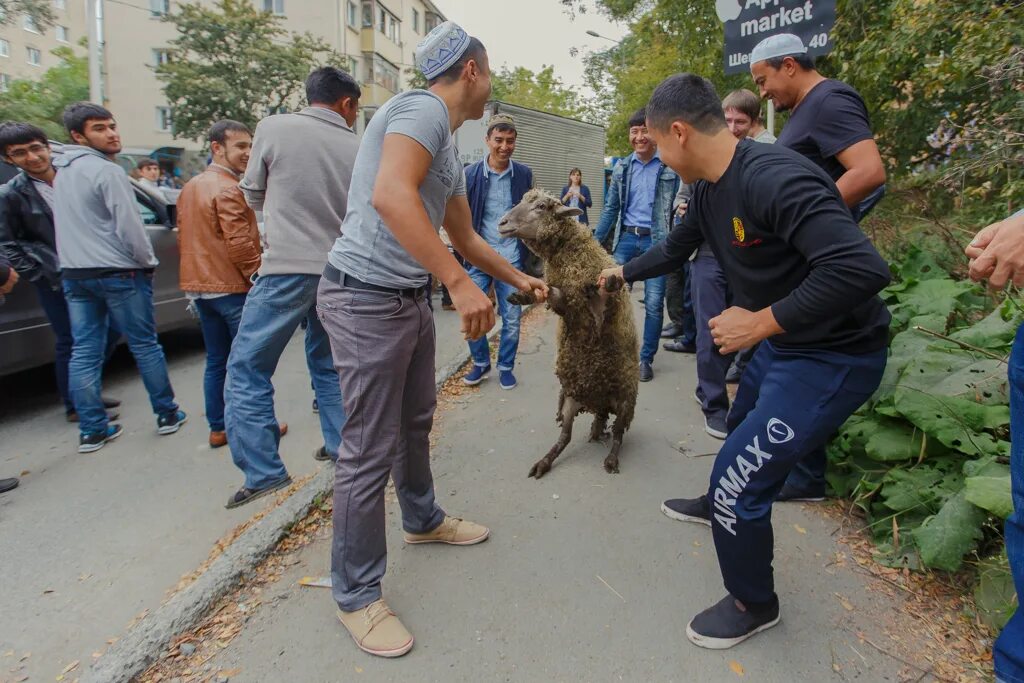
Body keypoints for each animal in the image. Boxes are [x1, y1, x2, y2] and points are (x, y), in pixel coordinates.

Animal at [497, 188, 638, 481]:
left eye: (541, 206)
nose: (502, 224)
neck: (571, 258)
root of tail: (599, 404)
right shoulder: (567, 305)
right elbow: (552, 292)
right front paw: (524, 295)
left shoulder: (597, 312)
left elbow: (601, 294)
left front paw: (610, 281)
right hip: (571, 399)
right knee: (565, 437)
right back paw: (545, 461)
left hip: (625, 400)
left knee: (619, 434)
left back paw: (611, 459)